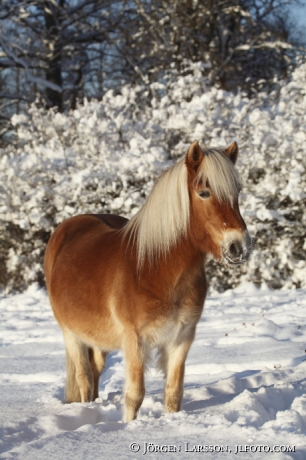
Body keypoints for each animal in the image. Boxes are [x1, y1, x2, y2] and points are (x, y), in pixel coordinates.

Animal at [44, 140, 251, 420]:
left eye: (237, 192)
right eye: (204, 192)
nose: (238, 247)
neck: (156, 270)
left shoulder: (182, 337)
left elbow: (174, 392)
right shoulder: (135, 340)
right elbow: (135, 395)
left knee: (96, 369)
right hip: (72, 334)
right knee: (84, 377)